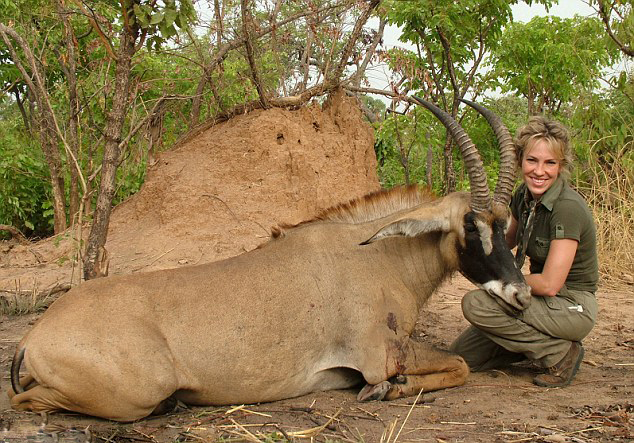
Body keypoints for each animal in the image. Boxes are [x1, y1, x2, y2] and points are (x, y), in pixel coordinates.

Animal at [8, 99, 528, 424]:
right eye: (471, 226)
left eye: (506, 224)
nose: (520, 294)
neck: (376, 253)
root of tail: (33, 337)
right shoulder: (379, 355)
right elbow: (457, 367)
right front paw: (388, 390)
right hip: (137, 390)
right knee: (26, 400)